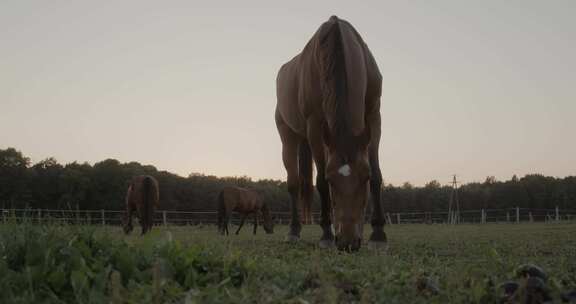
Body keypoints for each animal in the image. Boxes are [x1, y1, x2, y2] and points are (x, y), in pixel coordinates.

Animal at [276, 15, 388, 251]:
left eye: (364, 177)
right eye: (331, 179)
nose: (347, 242)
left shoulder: (374, 115)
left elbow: (378, 174)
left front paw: (378, 235)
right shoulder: (315, 125)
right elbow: (319, 183)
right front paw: (326, 235)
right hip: (288, 136)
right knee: (293, 184)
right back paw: (294, 231)